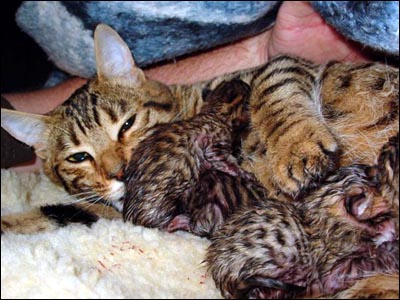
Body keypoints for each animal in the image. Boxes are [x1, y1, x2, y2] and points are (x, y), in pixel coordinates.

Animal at [123, 79, 256, 237]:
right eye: (246, 89)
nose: (244, 81)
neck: (216, 112)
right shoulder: (215, 144)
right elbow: (225, 162)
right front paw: (244, 173)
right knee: (163, 225)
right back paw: (180, 221)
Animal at [205, 135, 398, 298]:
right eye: (379, 179)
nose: (374, 166)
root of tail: (221, 277)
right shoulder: (334, 270)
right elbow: (371, 260)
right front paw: (390, 249)